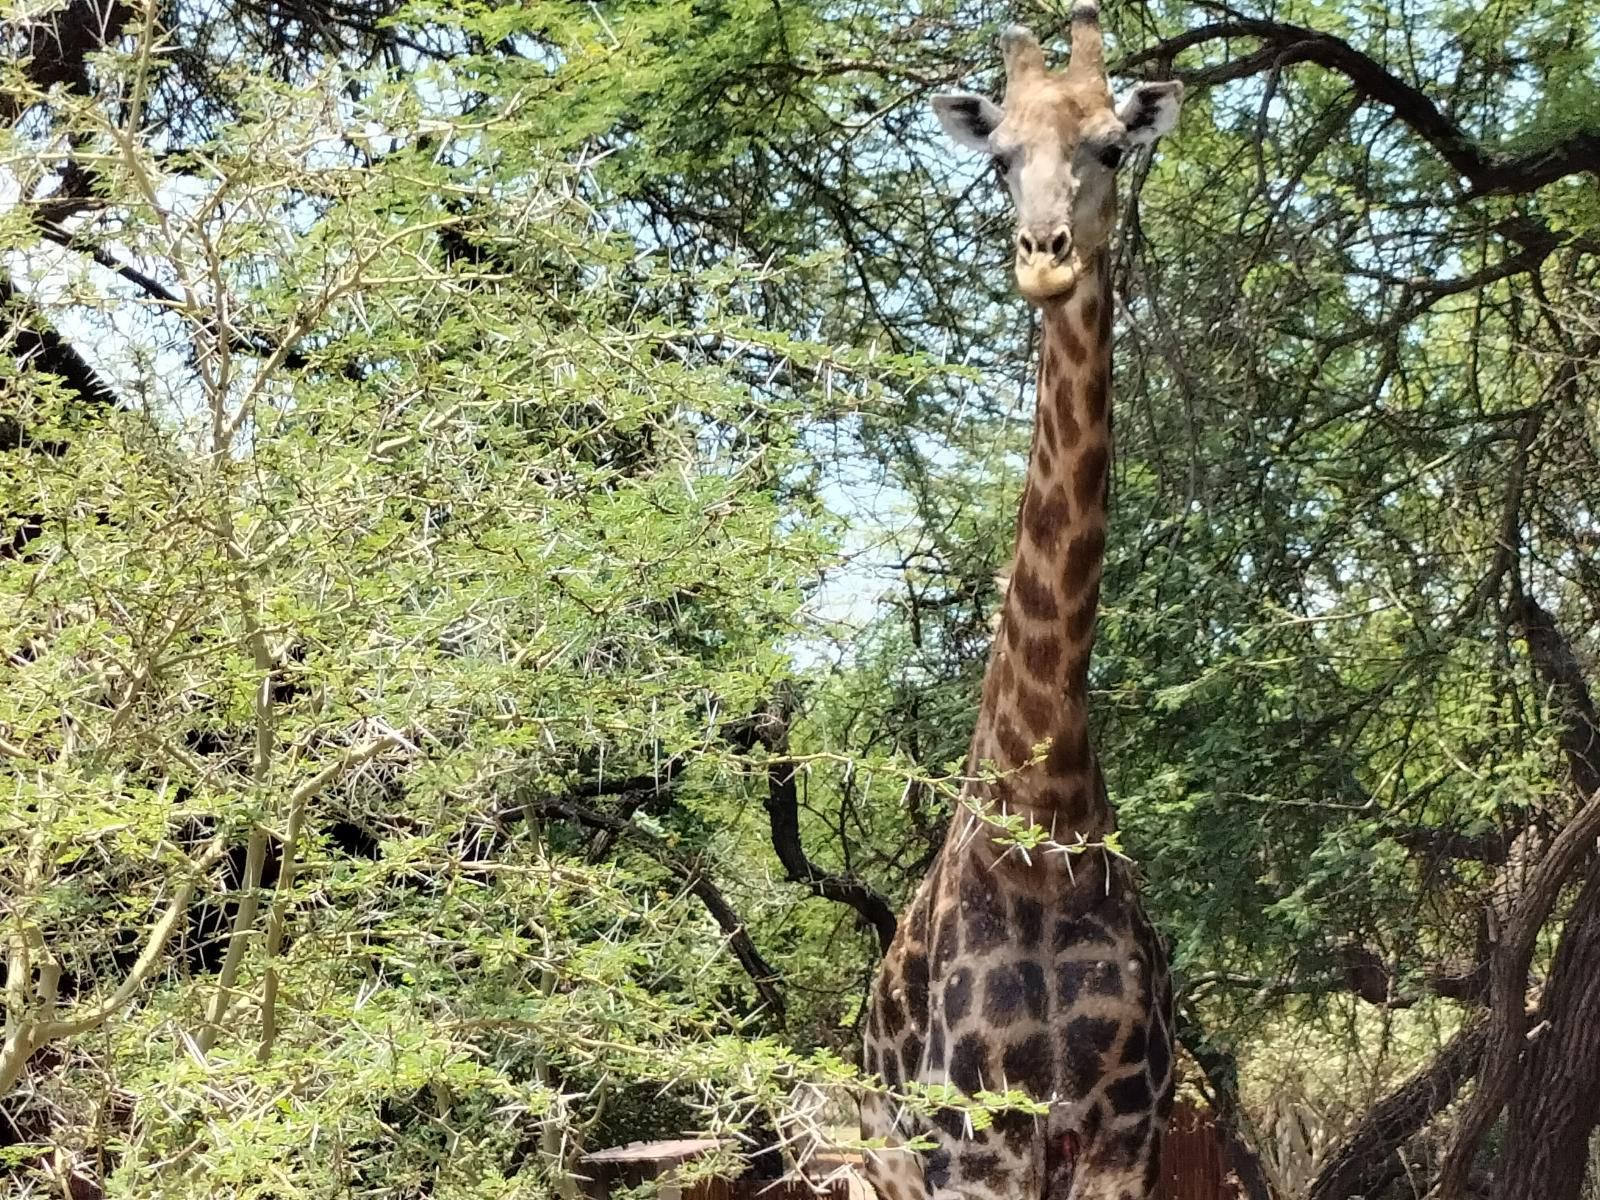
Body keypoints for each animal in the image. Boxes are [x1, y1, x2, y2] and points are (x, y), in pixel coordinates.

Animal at [857, 11, 1184, 1200]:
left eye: (1111, 148)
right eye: (1000, 159)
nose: (1044, 260)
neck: (1041, 824)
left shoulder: (1121, 1125)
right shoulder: (976, 1136)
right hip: (884, 1154)